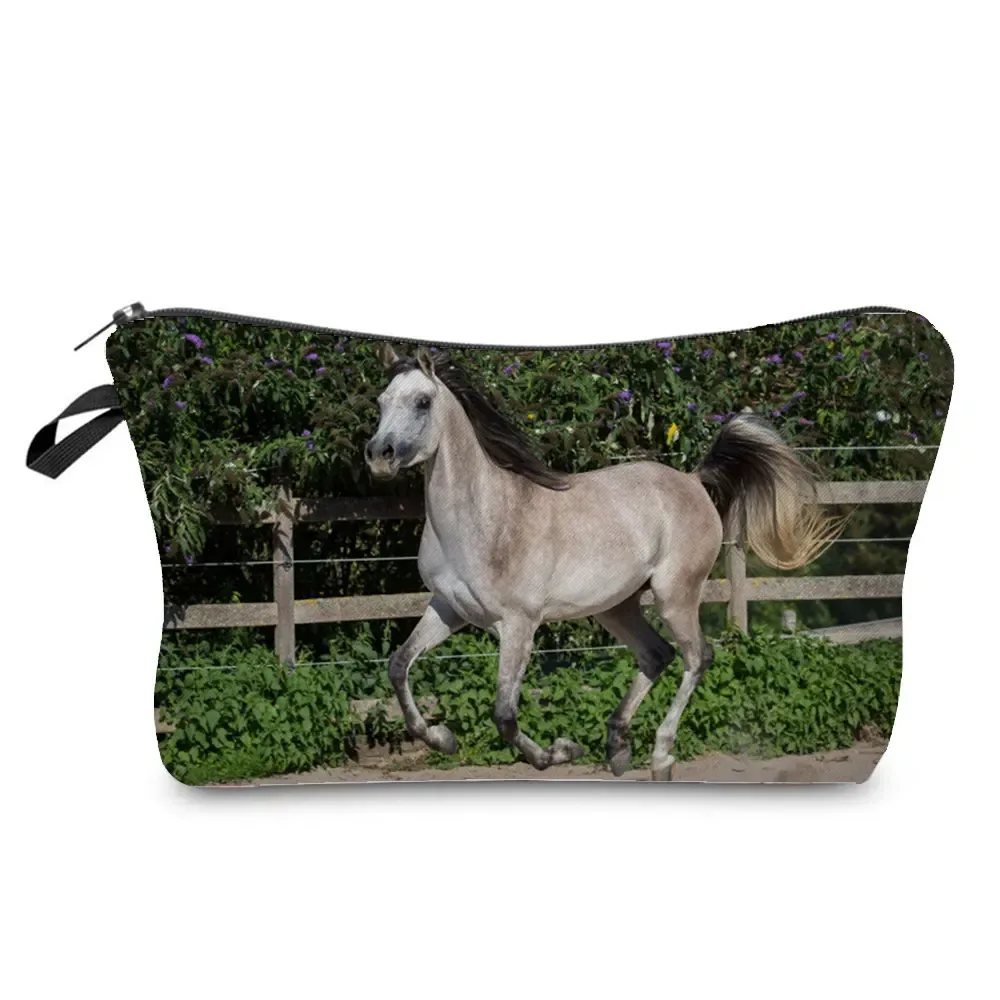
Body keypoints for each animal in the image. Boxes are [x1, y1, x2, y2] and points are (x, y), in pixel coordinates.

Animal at [364, 344, 840, 779]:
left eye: (422, 402)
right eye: (382, 401)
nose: (379, 455)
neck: (484, 518)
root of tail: (692, 480)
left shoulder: (518, 624)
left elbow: (504, 715)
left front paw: (558, 753)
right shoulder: (449, 609)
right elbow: (398, 666)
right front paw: (442, 739)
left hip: (675, 596)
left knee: (697, 657)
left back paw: (660, 757)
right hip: (616, 606)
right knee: (656, 655)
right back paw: (617, 749)